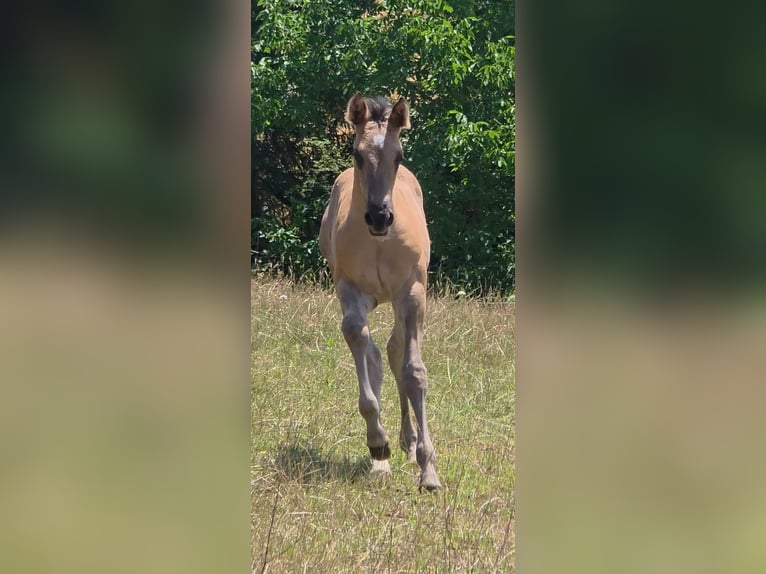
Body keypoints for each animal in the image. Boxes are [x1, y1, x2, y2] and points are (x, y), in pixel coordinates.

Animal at [319, 93, 441, 491]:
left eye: (398, 155)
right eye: (357, 154)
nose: (379, 216)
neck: (378, 243)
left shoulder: (412, 293)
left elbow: (413, 371)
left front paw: (428, 471)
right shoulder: (351, 290)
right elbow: (359, 340)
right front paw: (378, 444)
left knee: (394, 350)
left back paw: (410, 442)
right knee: (374, 352)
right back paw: (385, 455)